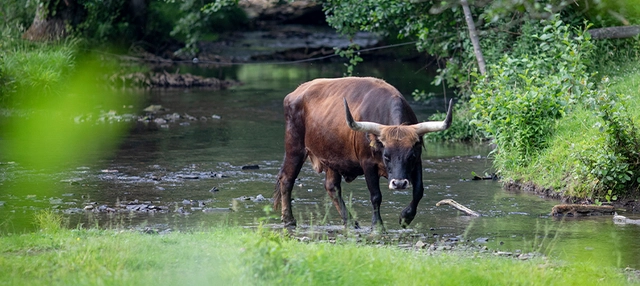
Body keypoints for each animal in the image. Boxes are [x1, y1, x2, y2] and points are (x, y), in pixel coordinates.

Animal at [272, 76, 452, 230]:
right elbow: (376, 196)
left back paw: (350, 222)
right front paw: (377, 225)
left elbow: (419, 190)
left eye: (411, 156)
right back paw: (289, 219)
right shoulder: (368, 164)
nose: (399, 183)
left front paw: (405, 217)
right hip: (295, 147)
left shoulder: (417, 163)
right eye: (386, 156)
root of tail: (296, 92)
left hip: (332, 158)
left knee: (331, 187)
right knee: (287, 179)